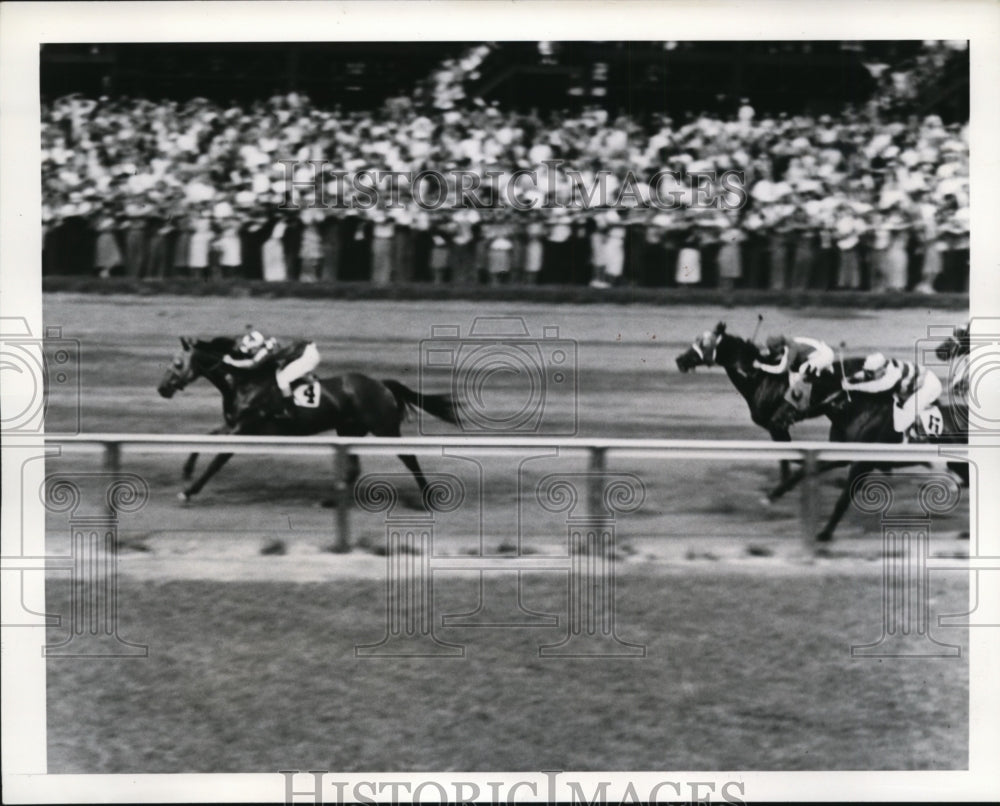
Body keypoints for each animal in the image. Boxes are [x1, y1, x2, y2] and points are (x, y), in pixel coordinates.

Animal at [158, 336, 462, 502]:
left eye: (177, 363)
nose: (162, 388)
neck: (244, 381)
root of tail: (381, 384)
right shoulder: (232, 424)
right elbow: (205, 438)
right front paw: (186, 473)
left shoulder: (243, 429)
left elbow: (217, 461)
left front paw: (189, 491)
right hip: (349, 430)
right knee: (353, 468)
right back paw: (331, 501)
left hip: (384, 428)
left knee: (409, 458)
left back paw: (428, 496)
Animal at [764, 366, 968, 544]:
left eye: (796, 393)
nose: (775, 418)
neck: (857, 412)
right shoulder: (841, 455)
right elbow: (802, 472)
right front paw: (772, 495)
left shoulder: (863, 462)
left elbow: (844, 499)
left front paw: (824, 534)